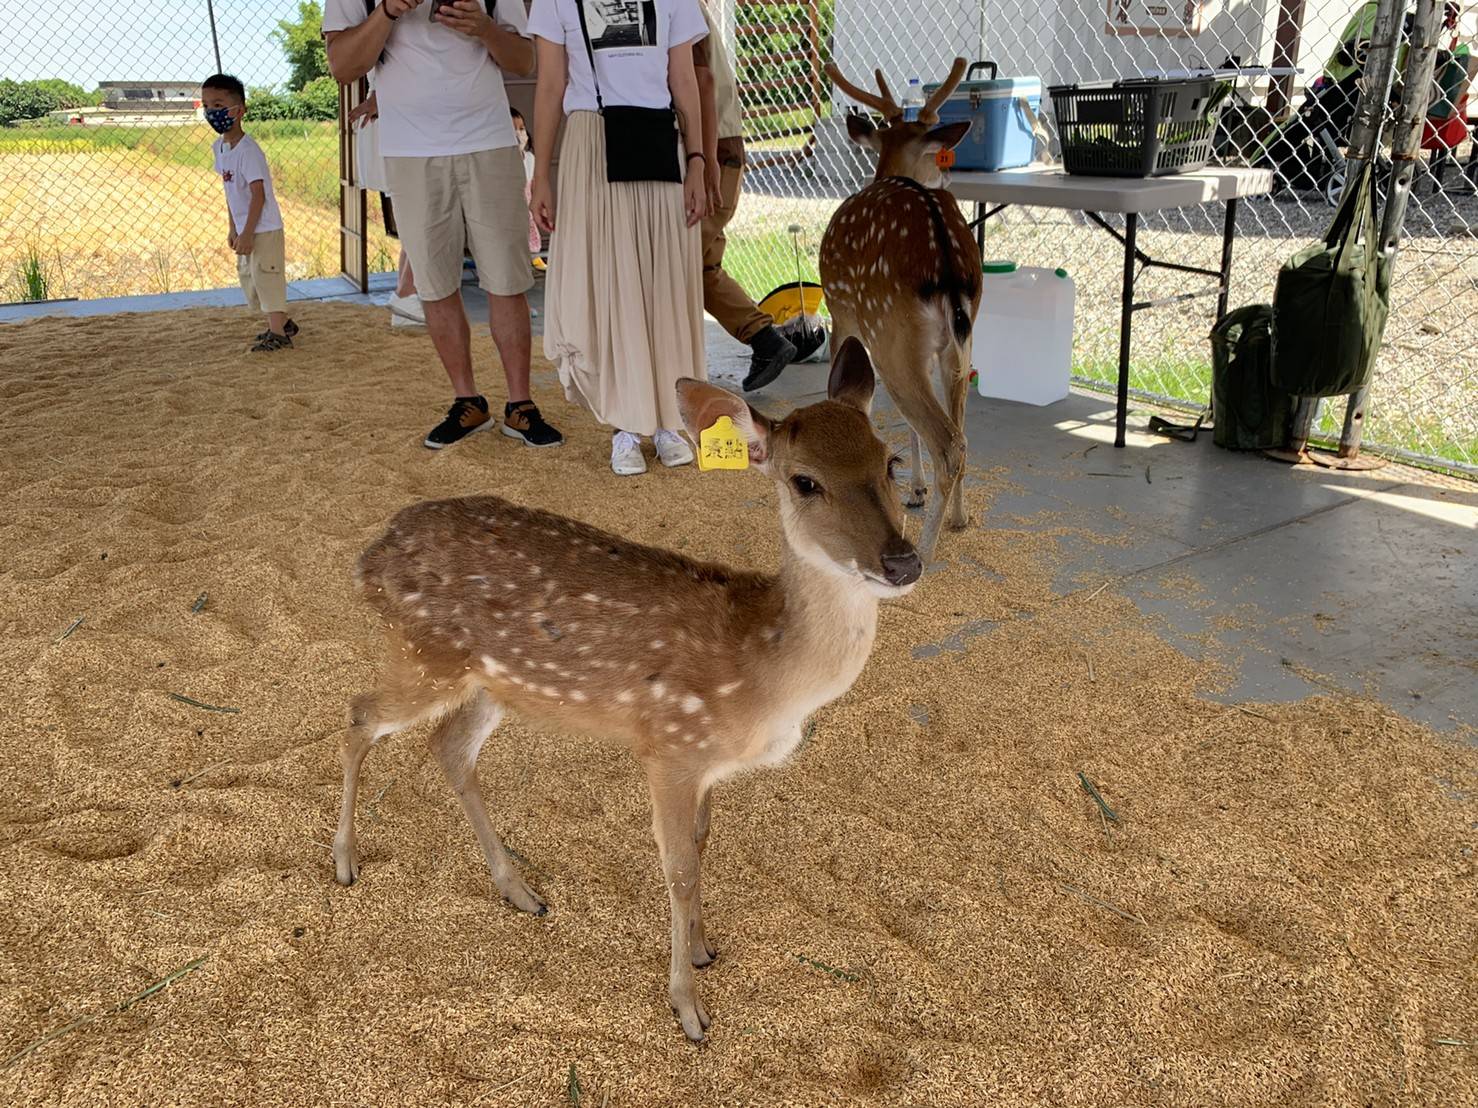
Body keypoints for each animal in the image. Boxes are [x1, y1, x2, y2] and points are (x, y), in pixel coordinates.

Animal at [332, 342, 922, 1045]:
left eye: (891, 460)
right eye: (804, 481)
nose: (903, 562)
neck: (763, 673)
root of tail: (369, 558)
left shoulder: (706, 765)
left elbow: (701, 847)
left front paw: (704, 947)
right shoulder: (669, 745)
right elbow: (679, 869)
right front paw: (689, 1008)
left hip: (491, 680)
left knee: (448, 746)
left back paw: (519, 890)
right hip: (426, 653)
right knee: (359, 714)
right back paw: (345, 863)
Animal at [821, 58, 981, 564]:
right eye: (938, 151)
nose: (949, 177)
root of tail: (948, 268)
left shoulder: (842, 312)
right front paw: (915, 489)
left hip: (888, 327)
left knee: (949, 441)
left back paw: (924, 554)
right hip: (958, 338)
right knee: (960, 429)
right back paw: (958, 518)